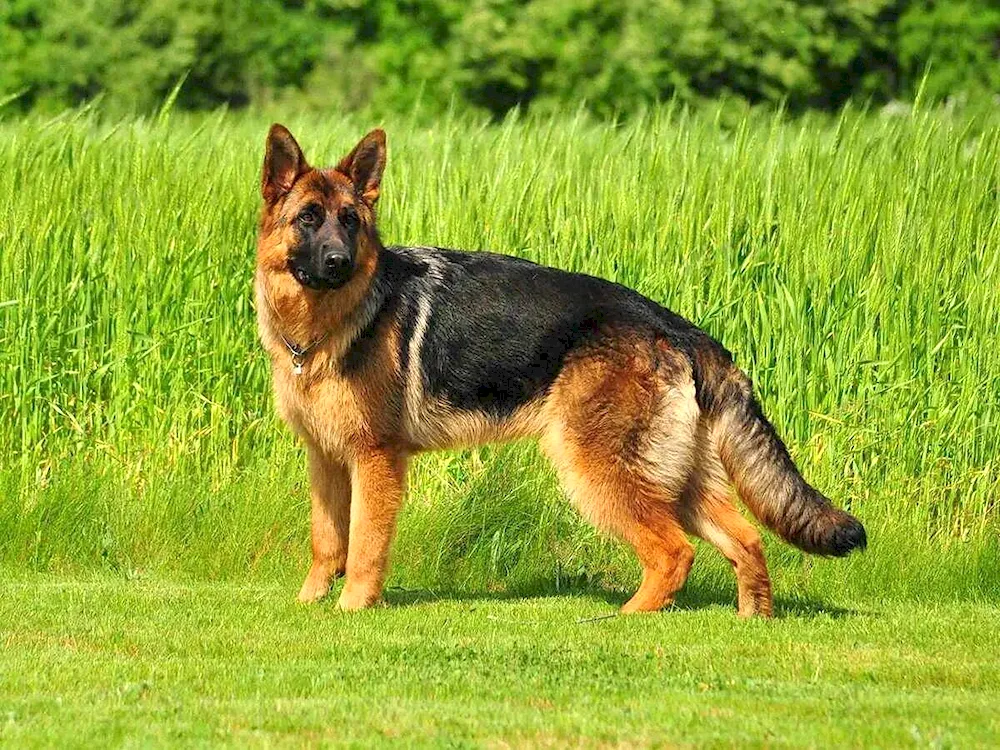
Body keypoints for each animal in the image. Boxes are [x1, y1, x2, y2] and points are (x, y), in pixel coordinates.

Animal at [254, 125, 864, 616]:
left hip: (598, 470)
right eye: (308, 219)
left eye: (350, 222)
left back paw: (625, 619)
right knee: (746, 540)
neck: (327, 330)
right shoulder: (325, 458)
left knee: (675, 552)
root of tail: (679, 328)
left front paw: (352, 608)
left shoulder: (375, 461)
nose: (338, 262)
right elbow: (327, 541)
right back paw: (752, 619)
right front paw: (309, 602)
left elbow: (363, 546)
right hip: (680, 481)